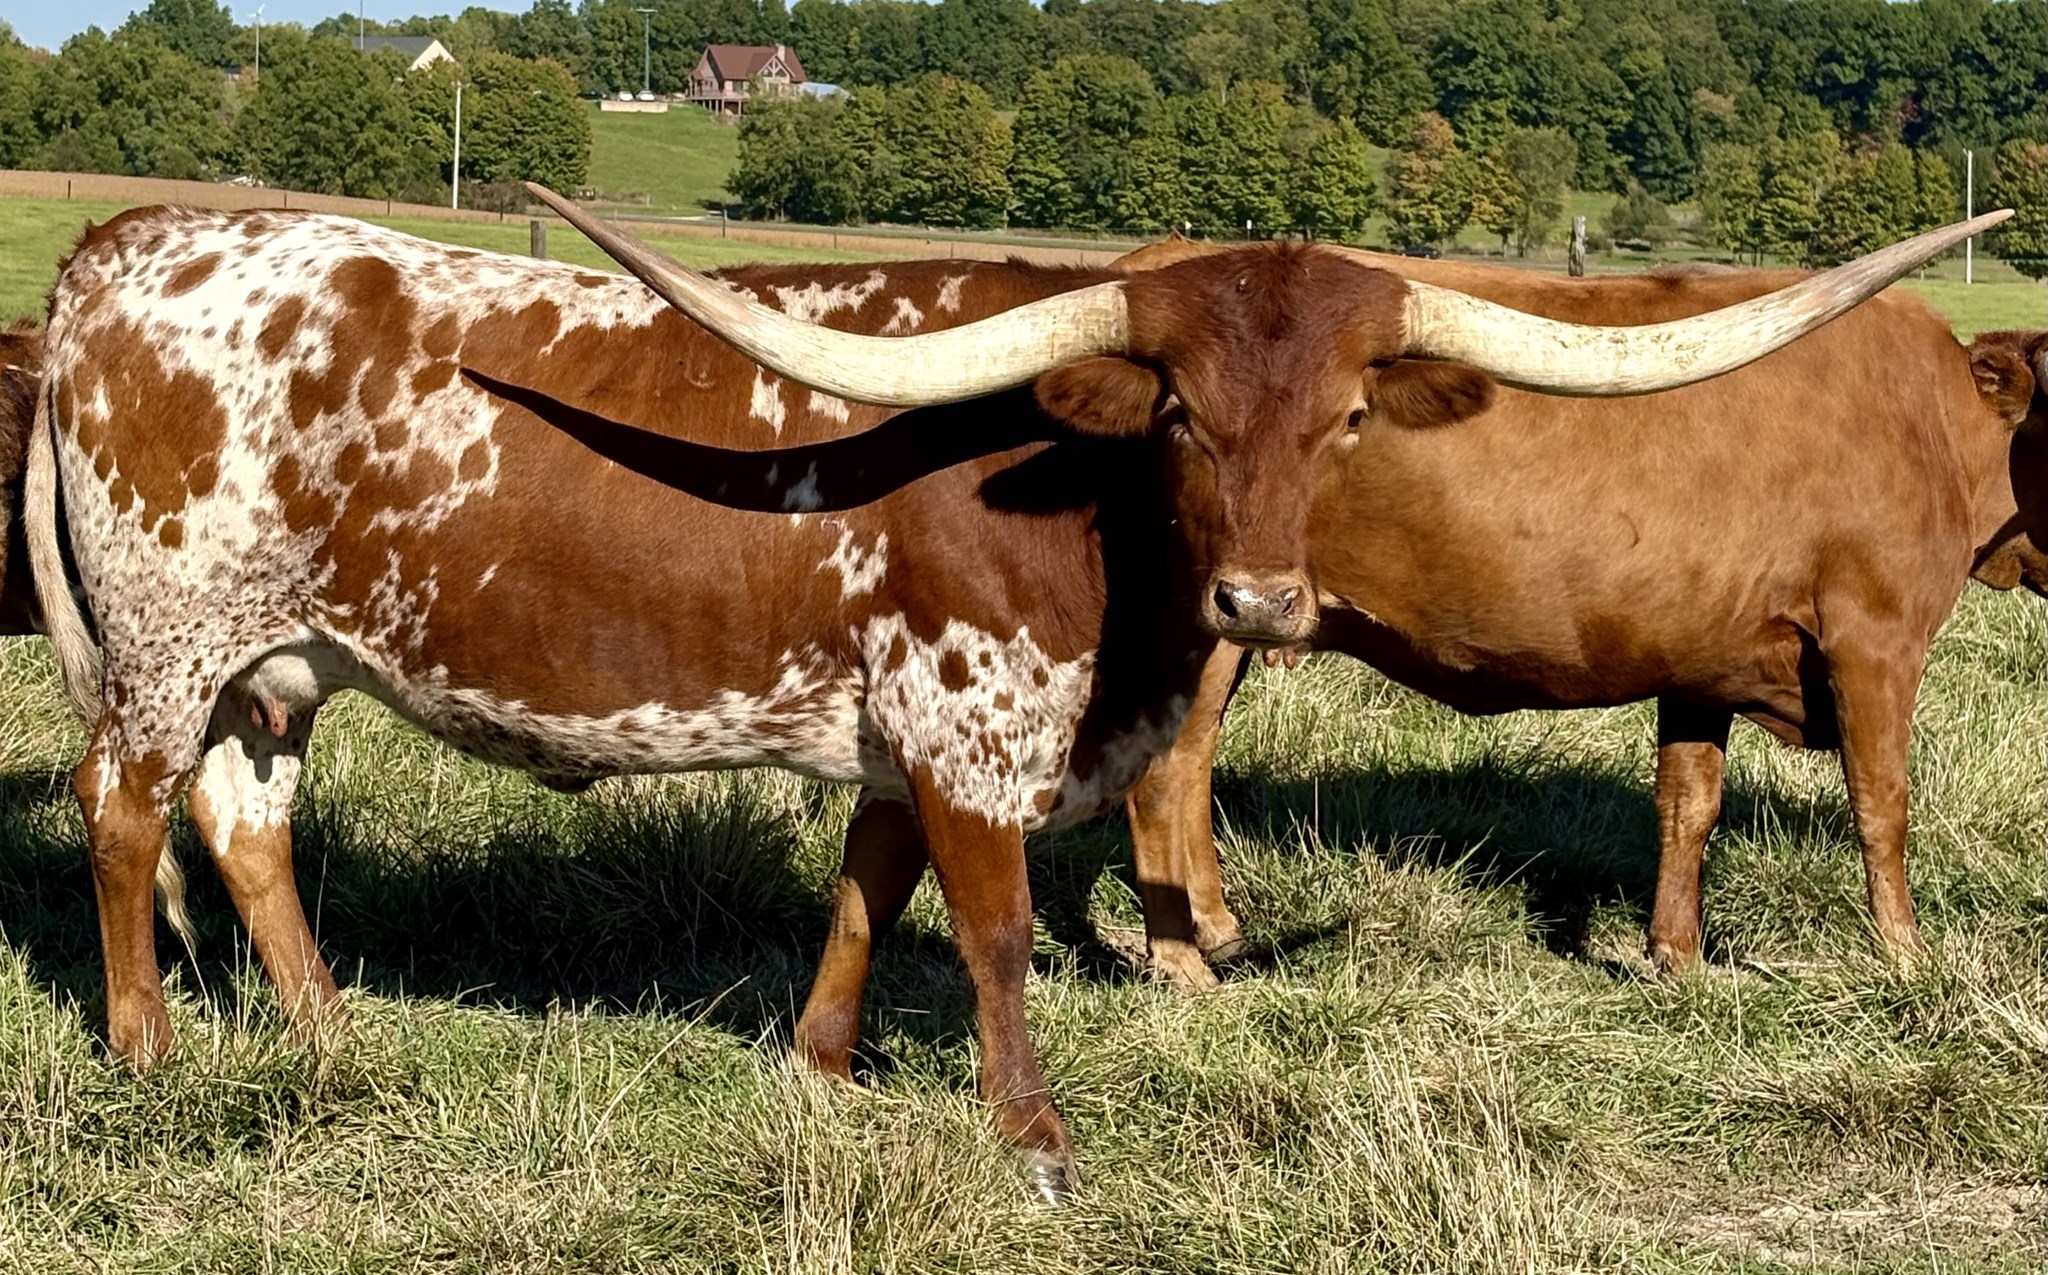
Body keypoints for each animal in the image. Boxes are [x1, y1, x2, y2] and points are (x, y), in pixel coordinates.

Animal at [1104, 250, 2046, 986]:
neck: (1942, 424)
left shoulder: (1703, 655)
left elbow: (1688, 802)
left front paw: (1676, 956)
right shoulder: (1875, 638)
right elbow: (1882, 803)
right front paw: (1909, 959)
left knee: (1192, 759)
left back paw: (1218, 927)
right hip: (1209, 617)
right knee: (1167, 768)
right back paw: (1184, 953)